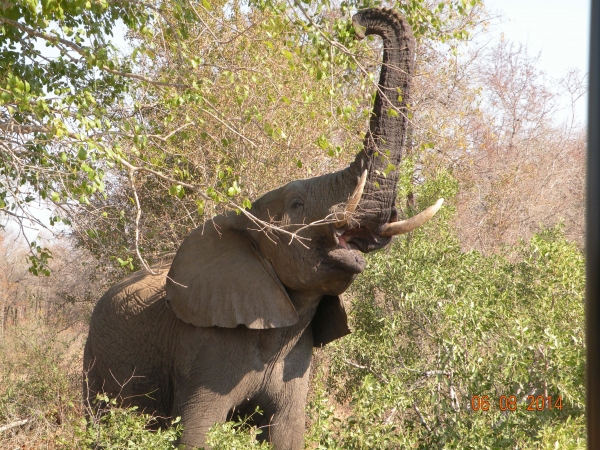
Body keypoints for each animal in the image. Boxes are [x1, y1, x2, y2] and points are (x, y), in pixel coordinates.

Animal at [82, 7, 442, 450]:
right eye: (297, 204)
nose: (359, 23)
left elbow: (288, 432)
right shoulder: (202, 348)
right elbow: (197, 431)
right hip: (94, 363)